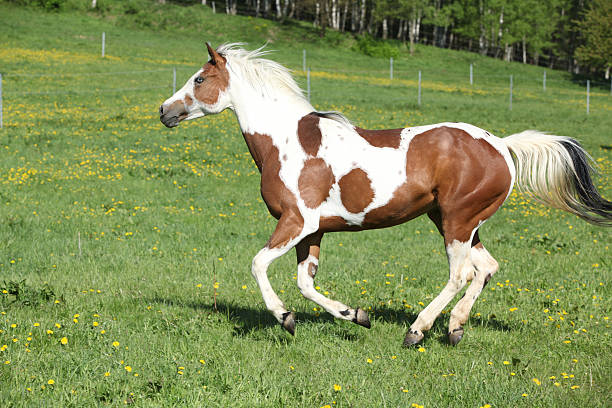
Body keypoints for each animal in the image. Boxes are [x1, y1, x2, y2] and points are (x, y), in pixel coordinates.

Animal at [161, 43, 612, 346]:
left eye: (199, 79)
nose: (165, 111)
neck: (285, 142)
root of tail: (500, 144)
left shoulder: (295, 221)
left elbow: (258, 265)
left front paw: (285, 317)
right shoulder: (313, 231)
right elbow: (305, 283)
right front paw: (356, 315)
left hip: (457, 221)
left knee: (461, 273)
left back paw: (418, 330)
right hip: (456, 220)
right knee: (486, 268)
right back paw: (454, 328)